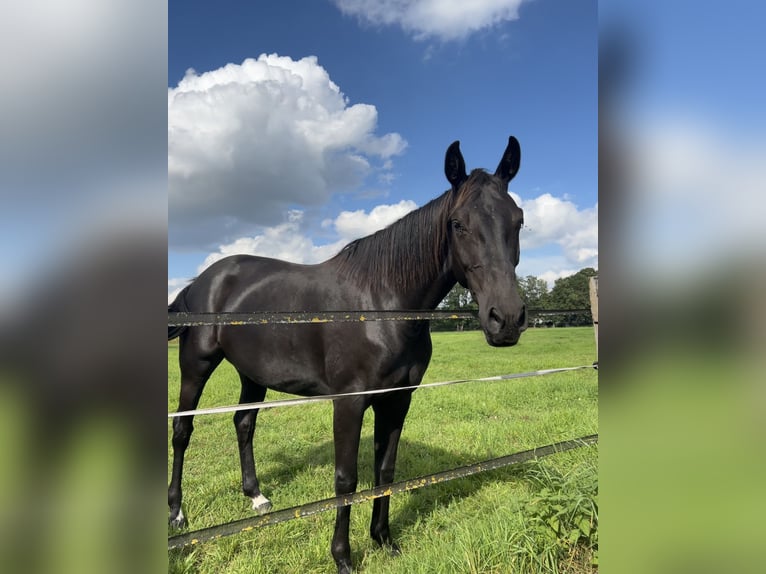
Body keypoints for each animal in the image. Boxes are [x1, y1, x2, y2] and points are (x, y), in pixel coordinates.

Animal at [168, 137, 528, 572]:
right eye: (458, 224)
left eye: (519, 221)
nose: (505, 319)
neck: (381, 304)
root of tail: (202, 281)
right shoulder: (349, 402)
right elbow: (346, 479)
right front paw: (343, 557)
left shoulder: (397, 400)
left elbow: (385, 469)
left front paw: (384, 539)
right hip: (196, 365)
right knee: (182, 431)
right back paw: (176, 513)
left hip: (252, 374)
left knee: (243, 423)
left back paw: (256, 497)